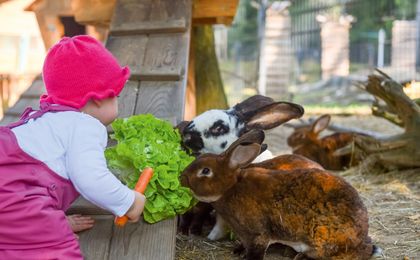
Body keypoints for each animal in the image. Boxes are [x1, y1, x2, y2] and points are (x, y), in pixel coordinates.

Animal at [180, 130, 374, 260]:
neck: (231, 187)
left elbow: (256, 252)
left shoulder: (258, 236)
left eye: (205, 171)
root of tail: (362, 235)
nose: (181, 177)